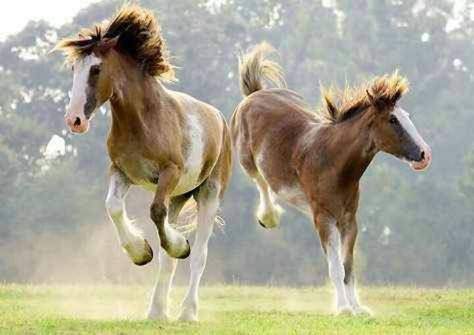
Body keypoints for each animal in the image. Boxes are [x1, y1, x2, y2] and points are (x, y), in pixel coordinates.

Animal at [54, 3, 232, 322]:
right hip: (180, 196)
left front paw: (178, 245)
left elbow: (155, 212)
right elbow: (113, 207)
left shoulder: (169, 173)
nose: (74, 120)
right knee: (168, 258)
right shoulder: (121, 172)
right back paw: (157, 310)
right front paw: (140, 252)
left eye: (96, 69)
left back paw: (188, 311)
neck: (144, 119)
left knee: (199, 255)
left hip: (209, 193)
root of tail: (221, 120)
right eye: (74, 68)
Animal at [231, 44, 432, 316]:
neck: (333, 161)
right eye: (393, 119)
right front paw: (343, 308)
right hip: (246, 158)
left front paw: (358, 308)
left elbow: (348, 267)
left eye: (407, 115)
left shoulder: (348, 221)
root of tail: (256, 93)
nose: (424, 154)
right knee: (260, 181)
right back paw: (269, 216)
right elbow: (335, 267)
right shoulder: (323, 219)